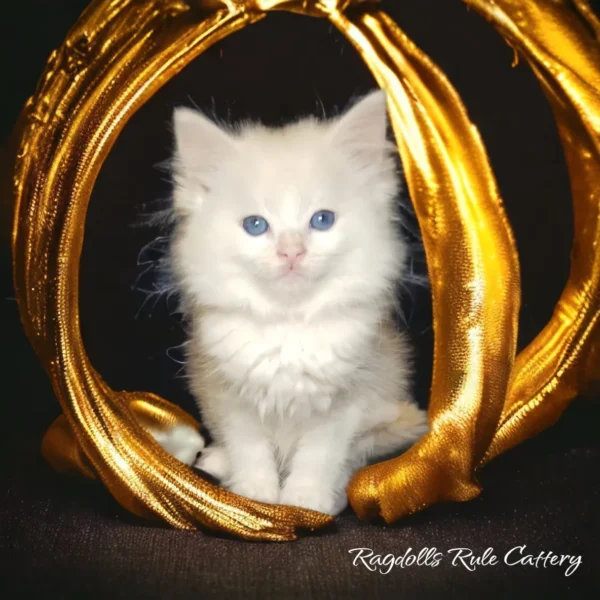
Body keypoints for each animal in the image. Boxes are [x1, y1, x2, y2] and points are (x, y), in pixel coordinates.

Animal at [162, 91, 428, 512]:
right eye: (255, 225)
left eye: (322, 220)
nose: (292, 253)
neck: (288, 325)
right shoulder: (228, 391)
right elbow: (250, 448)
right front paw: (255, 493)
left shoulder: (347, 399)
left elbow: (319, 455)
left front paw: (306, 499)